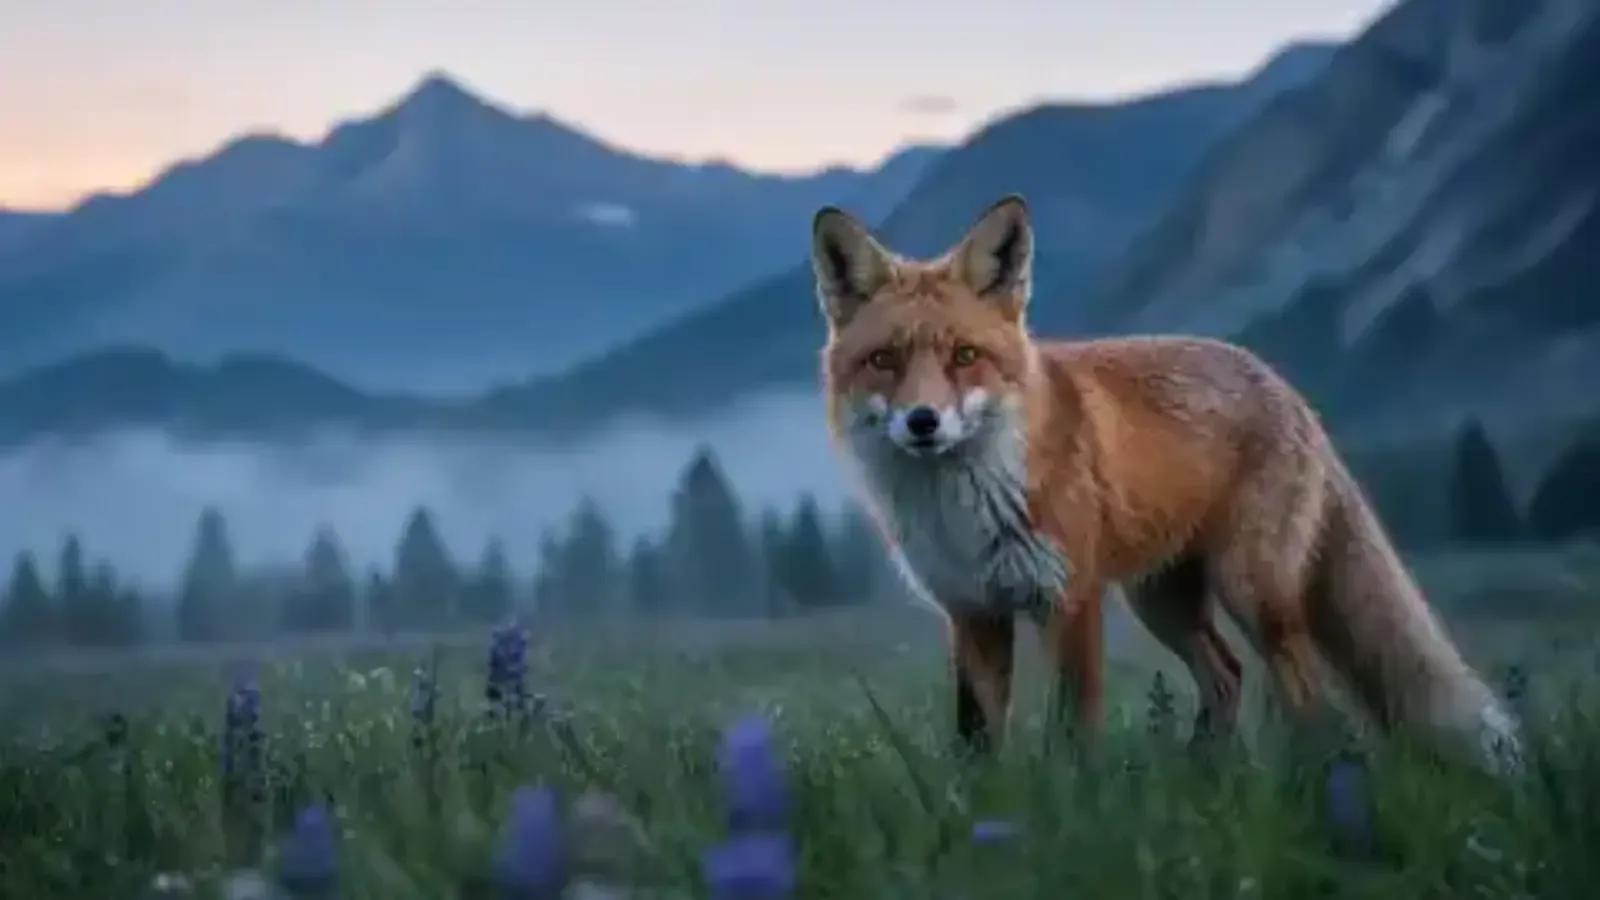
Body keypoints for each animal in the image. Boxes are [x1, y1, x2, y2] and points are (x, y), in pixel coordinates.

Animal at [809, 194, 1521, 771]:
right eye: (884, 360)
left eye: (964, 356)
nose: (923, 422)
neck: (963, 507)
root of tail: (1282, 384)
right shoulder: (973, 614)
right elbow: (976, 742)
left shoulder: (1070, 601)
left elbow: (1073, 734)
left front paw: (1078, 813)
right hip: (1163, 603)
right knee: (1227, 677)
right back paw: (1201, 775)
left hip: (1252, 595)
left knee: (1307, 700)